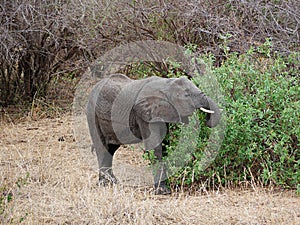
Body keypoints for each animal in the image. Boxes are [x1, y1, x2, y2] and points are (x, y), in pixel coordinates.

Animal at [86, 73, 220, 193]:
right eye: (187, 95)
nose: (207, 120)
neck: (166, 84)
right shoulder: (145, 115)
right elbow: (155, 146)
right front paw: (162, 191)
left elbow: (164, 145)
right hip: (92, 114)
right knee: (102, 148)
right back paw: (105, 184)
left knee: (111, 149)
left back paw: (113, 182)